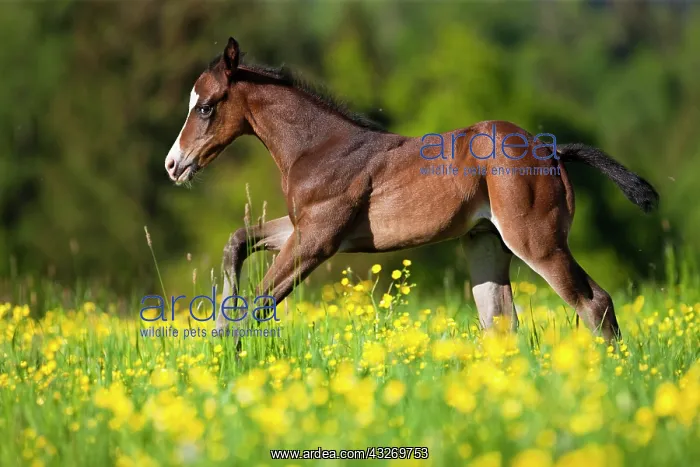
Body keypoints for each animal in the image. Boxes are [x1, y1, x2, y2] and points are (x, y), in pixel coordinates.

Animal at [164, 37, 659, 343]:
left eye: (205, 107)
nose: (173, 165)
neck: (318, 147)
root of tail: (551, 151)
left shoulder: (319, 238)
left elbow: (258, 303)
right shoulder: (305, 226)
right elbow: (236, 243)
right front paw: (216, 324)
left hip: (536, 241)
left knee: (594, 304)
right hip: (486, 243)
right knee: (500, 321)